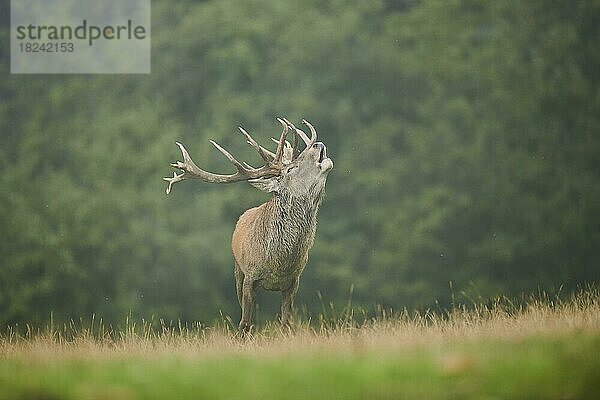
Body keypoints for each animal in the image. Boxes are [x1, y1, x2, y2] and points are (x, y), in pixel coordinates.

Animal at [164, 118, 332, 332]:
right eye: (290, 169)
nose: (318, 145)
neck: (279, 262)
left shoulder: (294, 281)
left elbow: (286, 323)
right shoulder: (250, 277)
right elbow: (245, 323)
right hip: (237, 271)